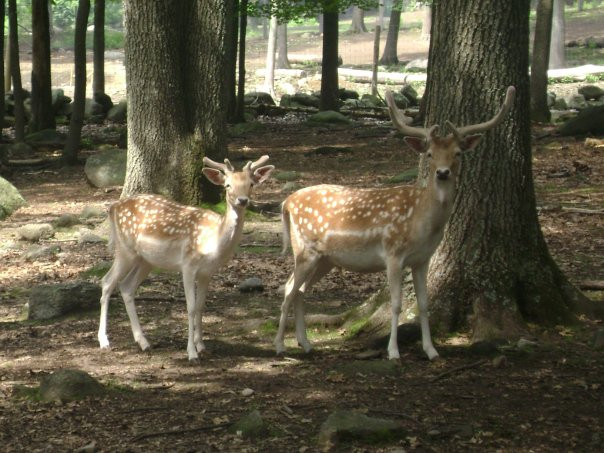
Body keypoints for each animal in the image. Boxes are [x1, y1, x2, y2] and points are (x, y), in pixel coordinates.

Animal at [96, 154, 274, 358]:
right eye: (227, 185)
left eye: (251, 184)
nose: (242, 200)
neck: (213, 241)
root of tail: (112, 207)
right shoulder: (188, 265)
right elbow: (190, 307)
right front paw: (191, 353)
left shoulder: (207, 272)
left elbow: (201, 306)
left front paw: (201, 345)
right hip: (125, 249)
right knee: (107, 282)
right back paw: (104, 341)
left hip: (146, 260)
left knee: (126, 287)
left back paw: (143, 342)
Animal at [274, 85, 516, 360]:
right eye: (430, 154)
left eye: (457, 153)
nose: (443, 172)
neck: (423, 224)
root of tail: (287, 202)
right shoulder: (392, 253)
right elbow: (397, 304)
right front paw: (393, 352)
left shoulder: (422, 259)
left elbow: (423, 305)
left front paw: (431, 350)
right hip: (304, 250)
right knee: (288, 288)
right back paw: (280, 346)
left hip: (326, 259)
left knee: (301, 291)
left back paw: (305, 343)